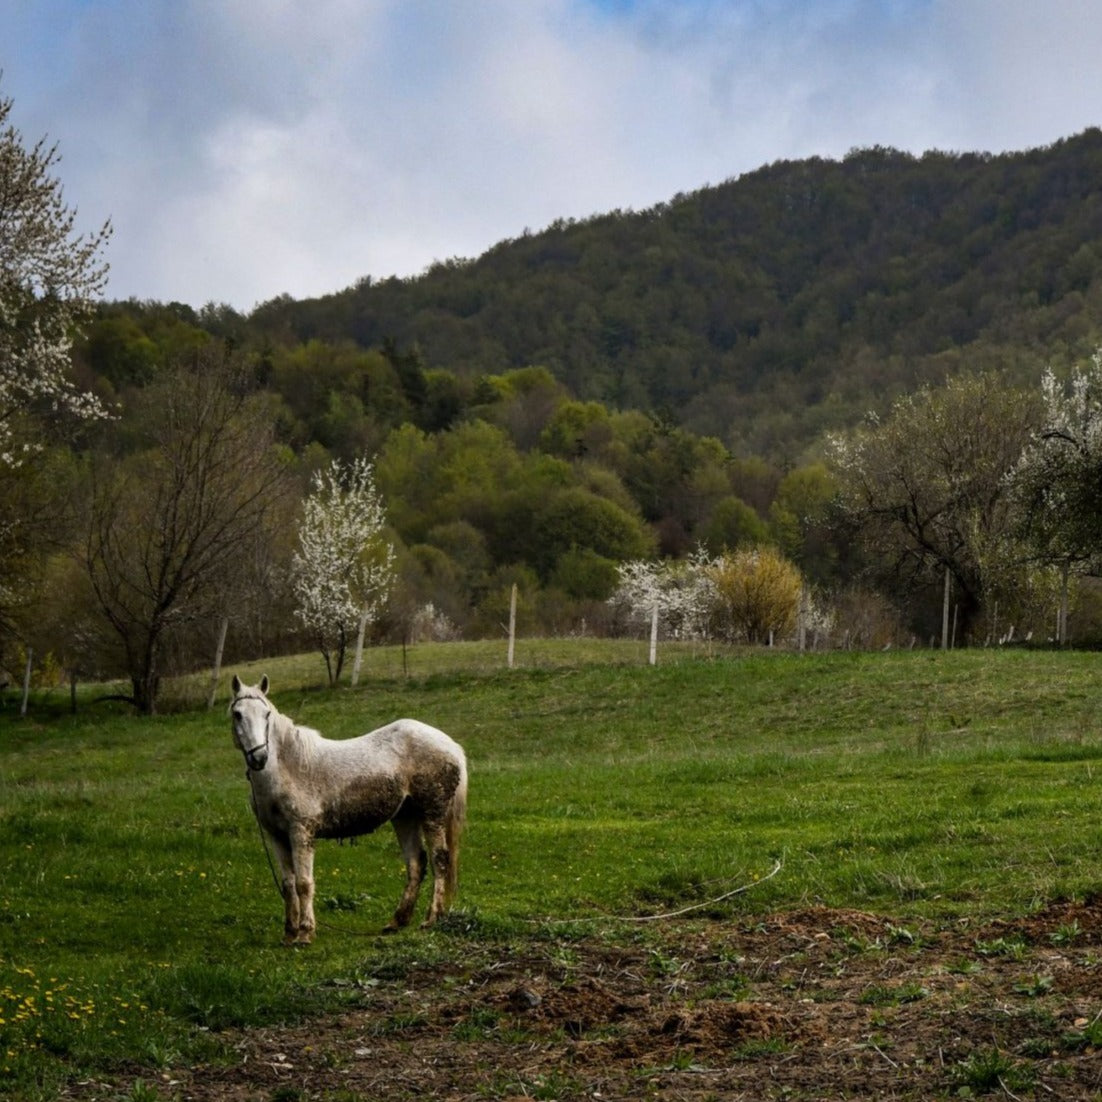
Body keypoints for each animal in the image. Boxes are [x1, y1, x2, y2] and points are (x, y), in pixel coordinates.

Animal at [228, 674, 465, 943]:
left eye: (266, 714)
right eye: (237, 714)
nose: (259, 758)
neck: (288, 767)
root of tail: (450, 745)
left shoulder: (301, 833)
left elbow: (303, 883)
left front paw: (305, 933)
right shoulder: (276, 836)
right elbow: (288, 884)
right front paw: (289, 934)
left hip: (432, 814)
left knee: (439, 859)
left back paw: (431, 918)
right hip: (405, 817)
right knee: (416, 862)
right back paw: (397, 921)